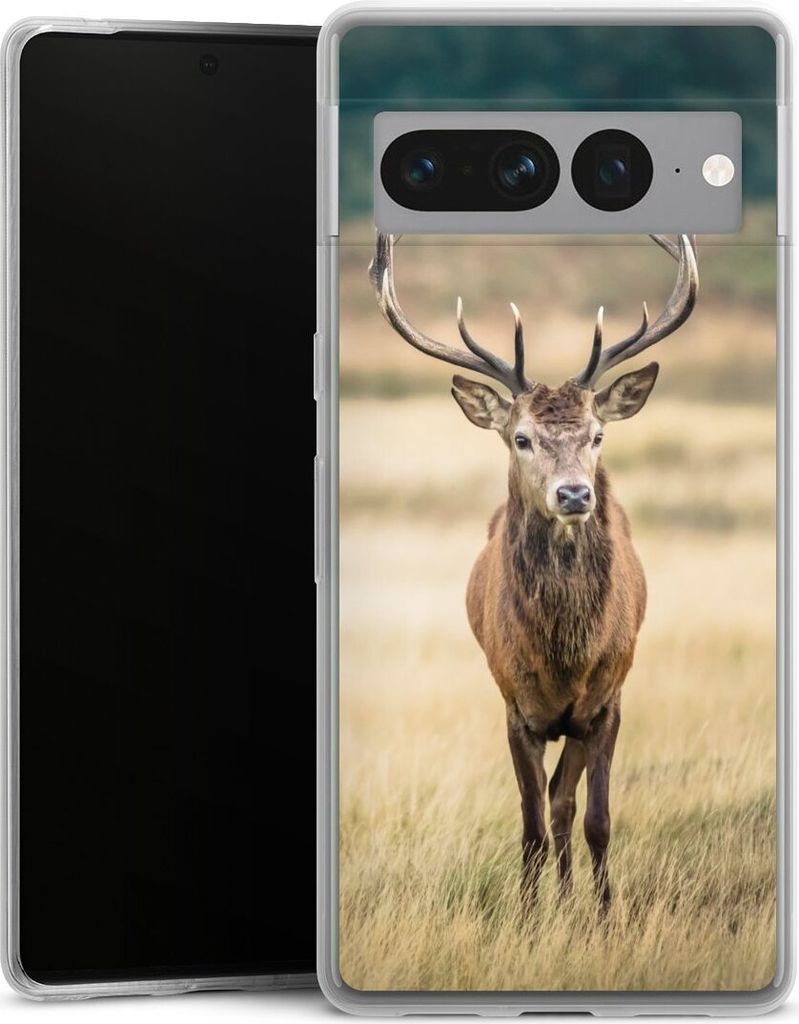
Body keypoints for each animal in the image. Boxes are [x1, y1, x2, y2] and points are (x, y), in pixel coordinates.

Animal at [368, 232, 698, 914]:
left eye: (598, 435)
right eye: (521, 438)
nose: (574, 494)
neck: (564, 655)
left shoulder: (608, 700)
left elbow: (594, 818)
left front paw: (603, 916)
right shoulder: (514, 706)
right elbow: (530, 824)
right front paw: (525, 916)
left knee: (566, 803)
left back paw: (572, 900)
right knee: (548, 807)